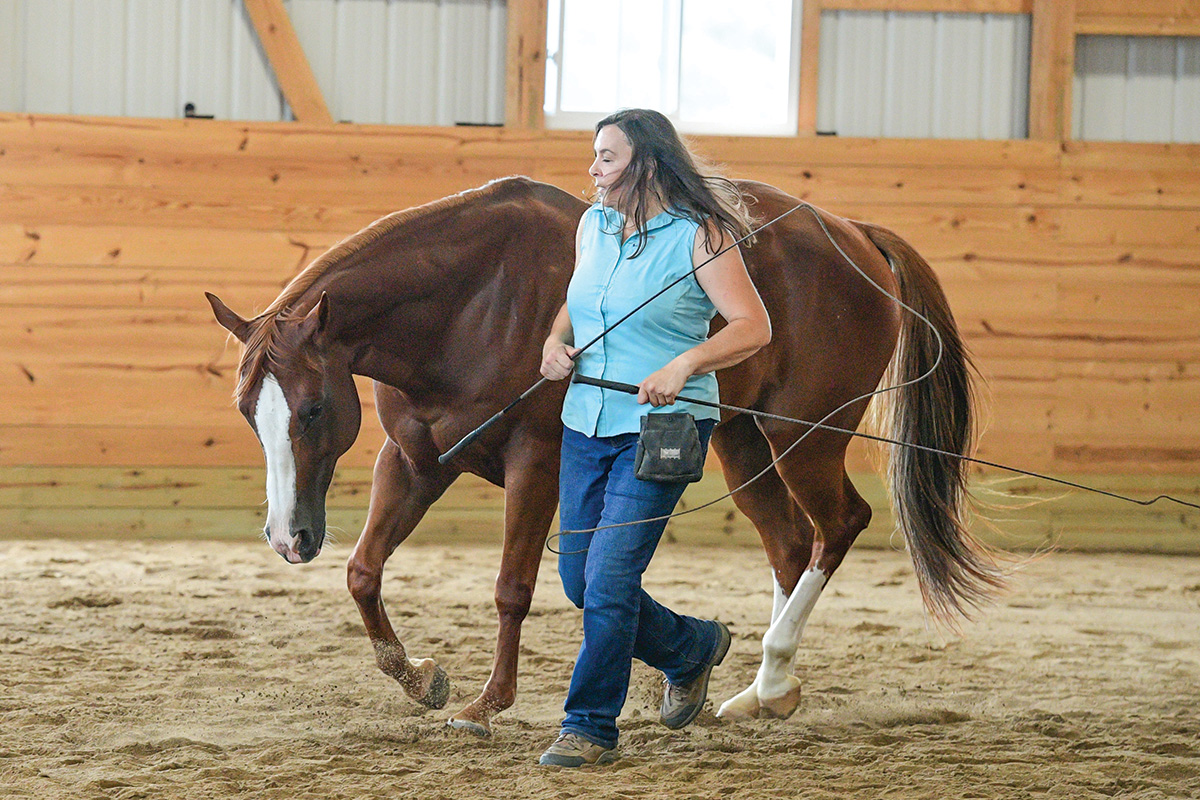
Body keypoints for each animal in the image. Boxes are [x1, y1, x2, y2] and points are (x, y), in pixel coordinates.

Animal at [208, 176, 1003, 738]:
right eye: (249, 412)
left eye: (313, 409)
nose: (287, 537)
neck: (471, 299)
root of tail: (852, 234)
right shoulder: (414, 461)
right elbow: (364, 571)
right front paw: (420, 677)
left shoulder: (537, 462)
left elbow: (513, 587)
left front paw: (487, 703)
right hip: (744, 443)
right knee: (788, 543)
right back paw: (754, 694)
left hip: (806, 435)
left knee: (837, 527)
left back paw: (773, 679)